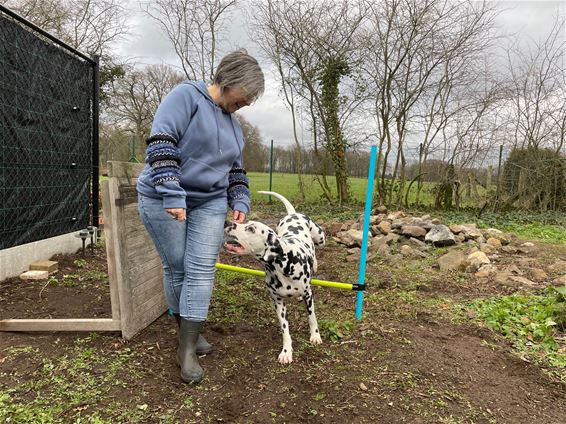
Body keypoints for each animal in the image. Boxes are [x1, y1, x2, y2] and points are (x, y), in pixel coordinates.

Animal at [224, 190, 326, 362]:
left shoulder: (309, 295)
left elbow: (312, 317)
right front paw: (286, 351)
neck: (283, 264)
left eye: (251, 229)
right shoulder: (278, 303)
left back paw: (316, 264)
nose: (227, 223)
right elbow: (285, 330)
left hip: (320, 238)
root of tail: (293, 214)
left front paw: (315, 336)